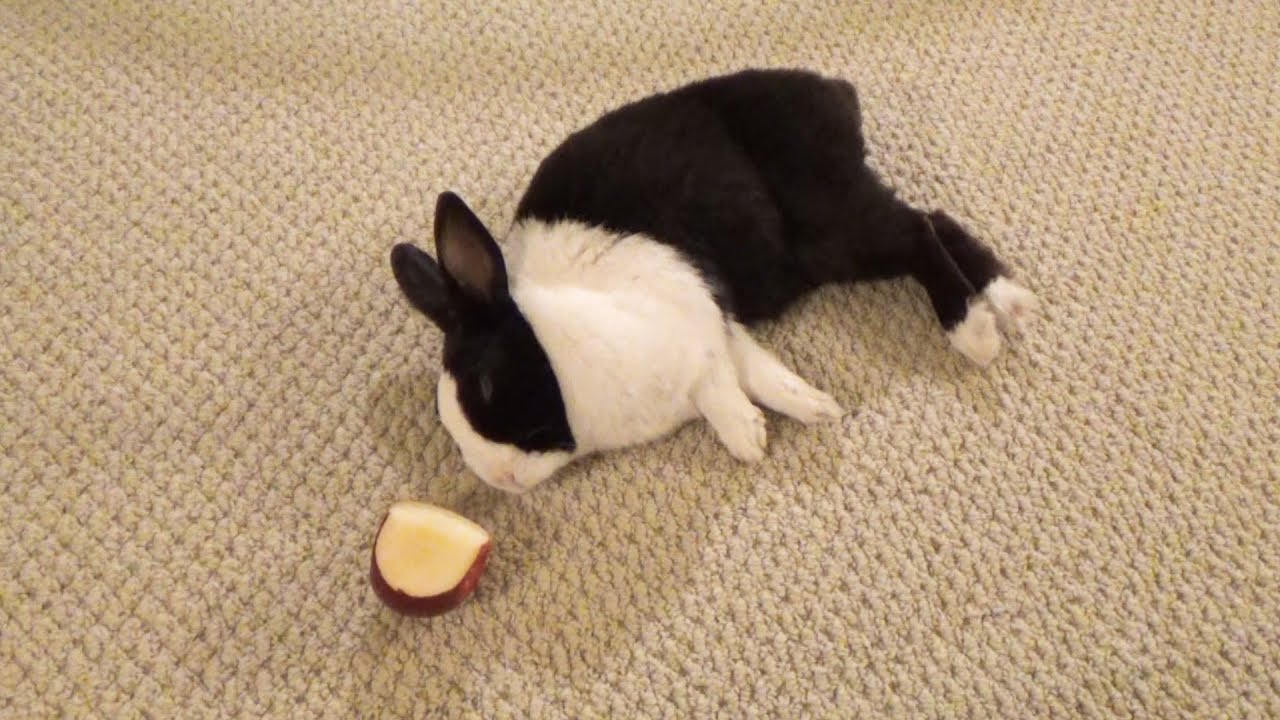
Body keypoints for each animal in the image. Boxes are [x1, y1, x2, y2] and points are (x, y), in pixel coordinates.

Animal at [390, 68, 1038, 493]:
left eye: (486, 384)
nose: (501, 478)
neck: (560, 349)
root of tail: (833, 90)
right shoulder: (713, 321)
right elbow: (752, 367)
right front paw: (811, 410)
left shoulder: (689, 311)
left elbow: (721, 384)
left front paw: (750, 437)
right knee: (931, 220)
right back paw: (1008, 299)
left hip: (829, 220)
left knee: (917, 235)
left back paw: (974, 330)